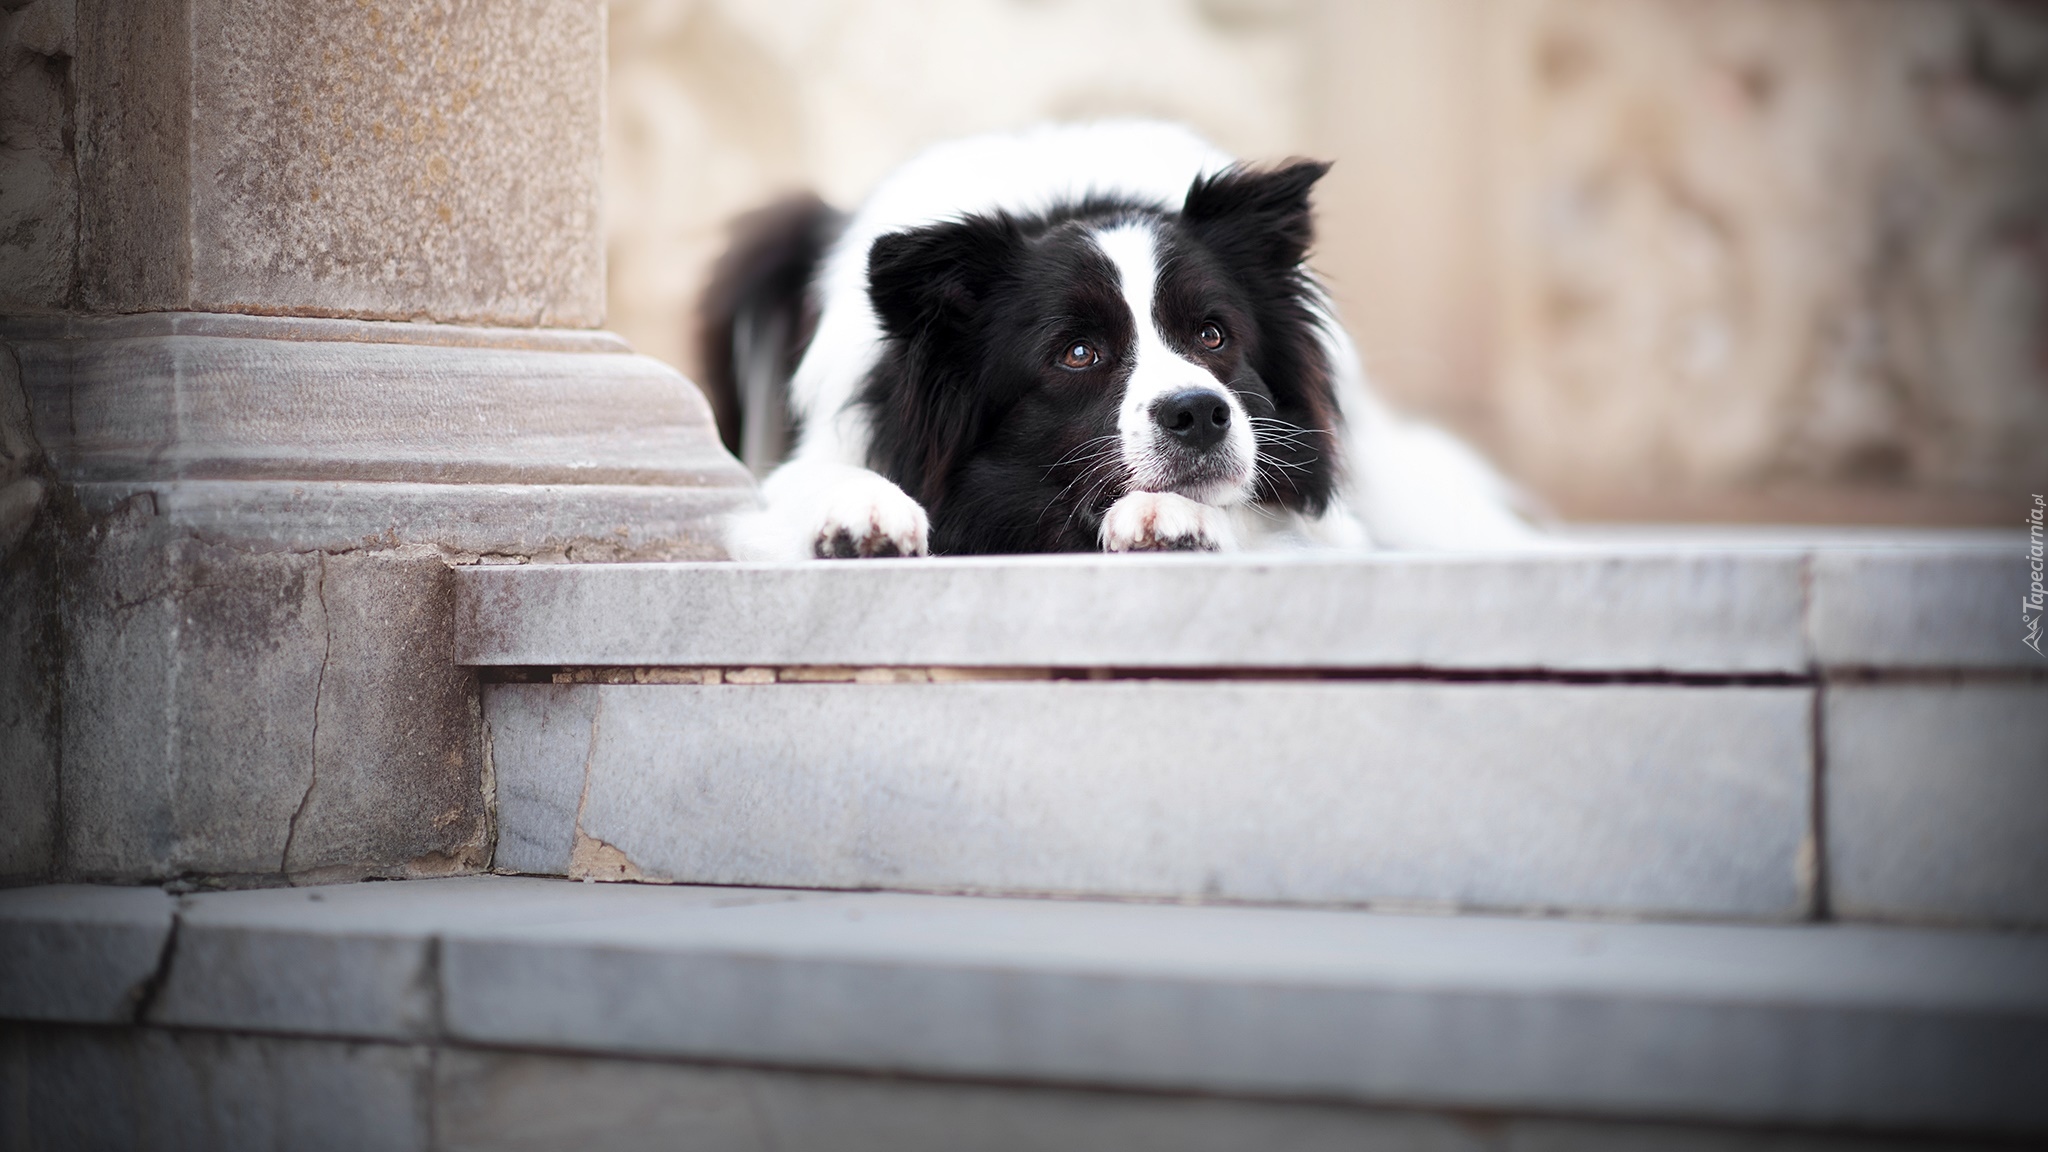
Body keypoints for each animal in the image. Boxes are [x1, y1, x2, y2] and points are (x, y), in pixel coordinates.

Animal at [700, 119, 1540, 557]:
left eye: (1212, 334)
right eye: (1078, 354)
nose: (1199, 414)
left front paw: (1171, 518)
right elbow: (809, 483)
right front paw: (863, 511)